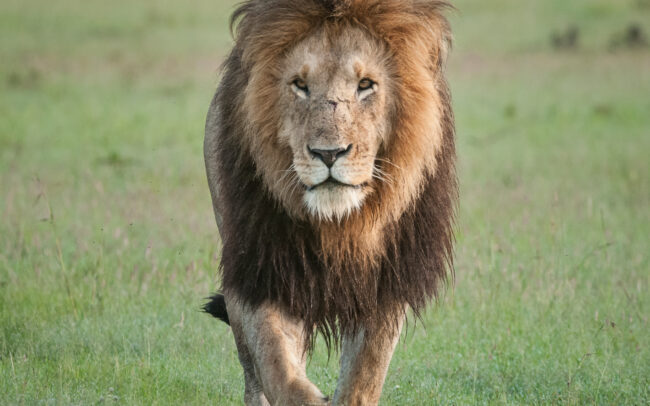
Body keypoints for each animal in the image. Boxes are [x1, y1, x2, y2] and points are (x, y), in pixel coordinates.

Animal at [203, 1, 457, 404]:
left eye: (365, 85)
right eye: (300, 85)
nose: (328, 153)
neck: (338, 225)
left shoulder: (387, 280)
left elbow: (363, 376)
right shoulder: (258, 268)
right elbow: (276, 363)